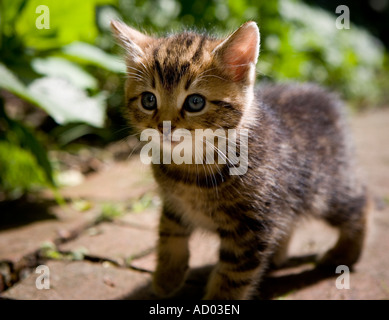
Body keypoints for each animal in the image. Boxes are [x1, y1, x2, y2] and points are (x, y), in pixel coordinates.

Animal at [110, 20, 368, 300]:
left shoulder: (251, 229)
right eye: (149, 100)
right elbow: (169, 233)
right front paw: (167, 277)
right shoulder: (173, 204)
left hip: (325, 189)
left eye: (195, 102)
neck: (191, 167)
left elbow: (232, 276)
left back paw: (345, 254)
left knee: (360, 201)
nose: (163, 127)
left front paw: (216, 299)